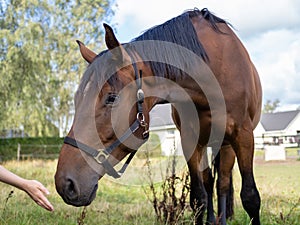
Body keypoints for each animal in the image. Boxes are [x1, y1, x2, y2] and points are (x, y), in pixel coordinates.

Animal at [55, 8, 262, 225]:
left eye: (111, 98)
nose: (66, 183)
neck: (213, 74)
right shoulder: (190, 140)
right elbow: (199, 197)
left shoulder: (243, 136)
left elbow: (250, 197)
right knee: (210, 181)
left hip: (226, 144)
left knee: (222, 183)